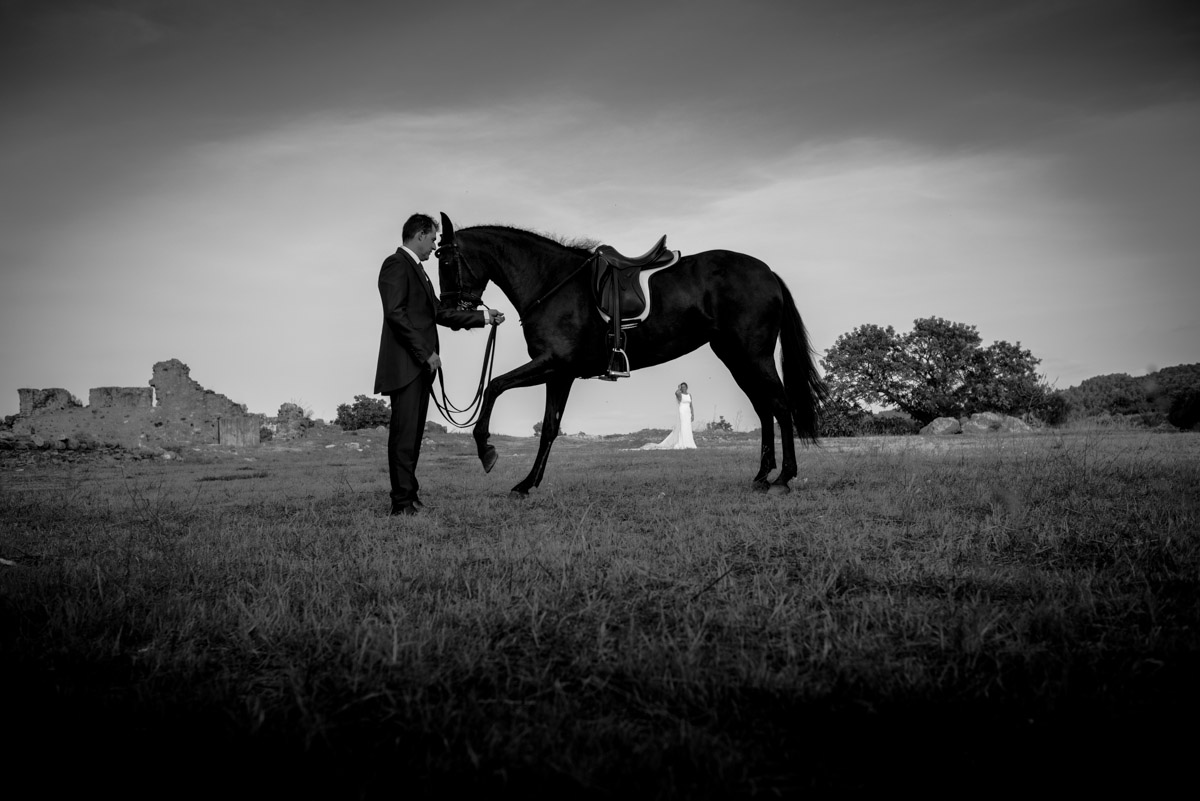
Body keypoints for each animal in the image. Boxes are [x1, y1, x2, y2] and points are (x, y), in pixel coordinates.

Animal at [435, 212, 825, 498]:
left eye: (447, 261)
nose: (451, 312)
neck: (552, 283)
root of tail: (767, 273)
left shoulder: (552, 365)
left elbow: (494, 387)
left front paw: (487, 451)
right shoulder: (559, 374)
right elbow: (548, 428)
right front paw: (527, 483)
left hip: (753, 355)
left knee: (780, 406)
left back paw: (783, 478)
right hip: (736, 357)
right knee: (764, 409)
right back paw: (762, 476)